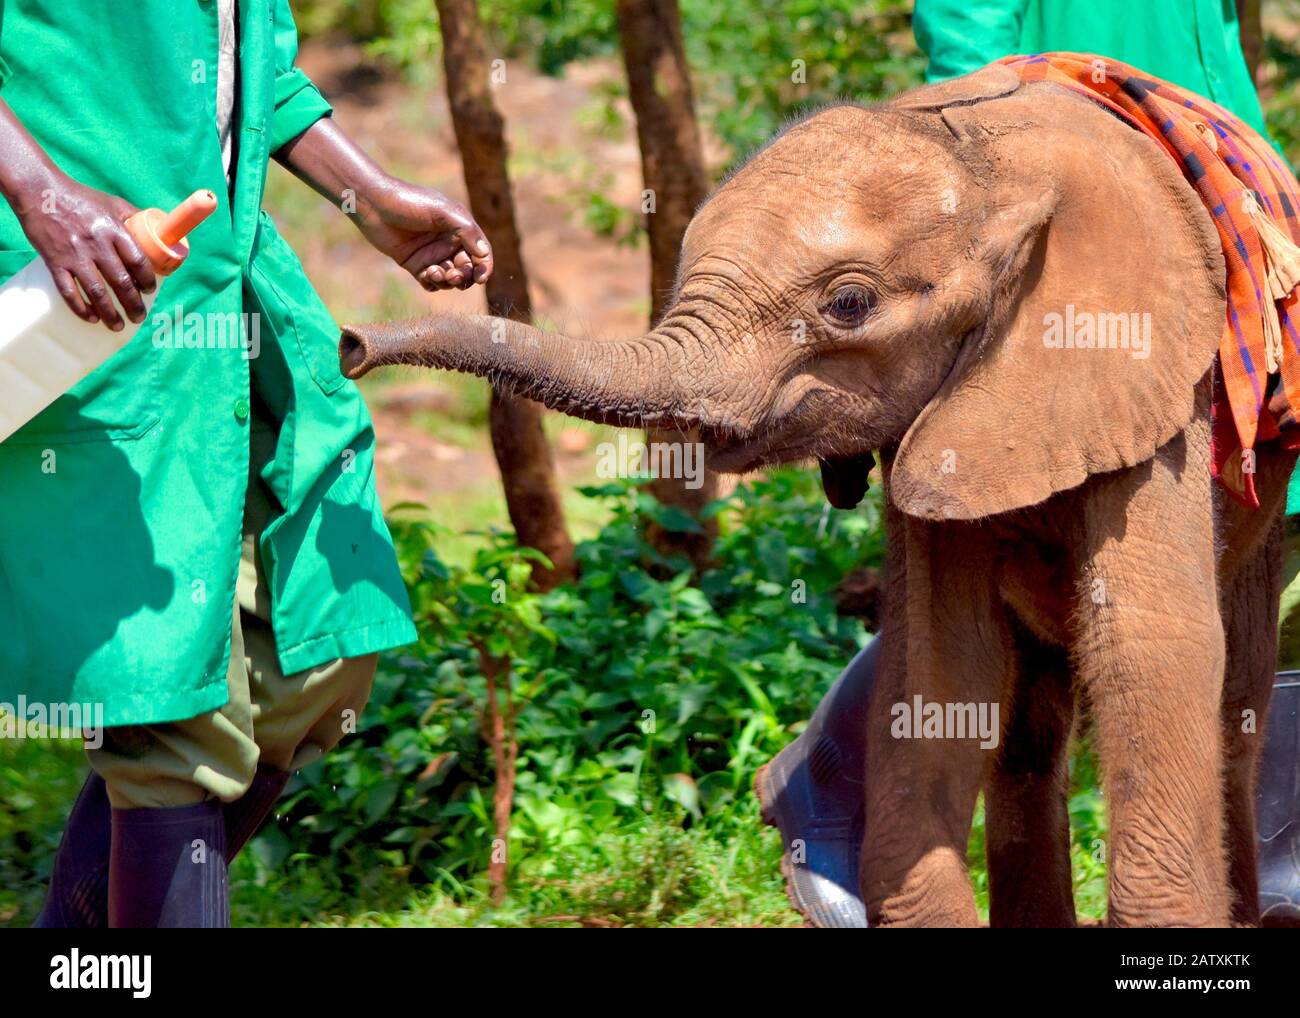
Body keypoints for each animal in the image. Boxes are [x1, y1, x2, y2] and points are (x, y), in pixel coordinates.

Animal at [340, 61, 1294, 925]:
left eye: (849, 304)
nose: (352, 343)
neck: (986, 165)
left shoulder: (1154, 383)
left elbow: (1147, 647)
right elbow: (943, 668)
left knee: (1235, 697)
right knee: (1027, 729)